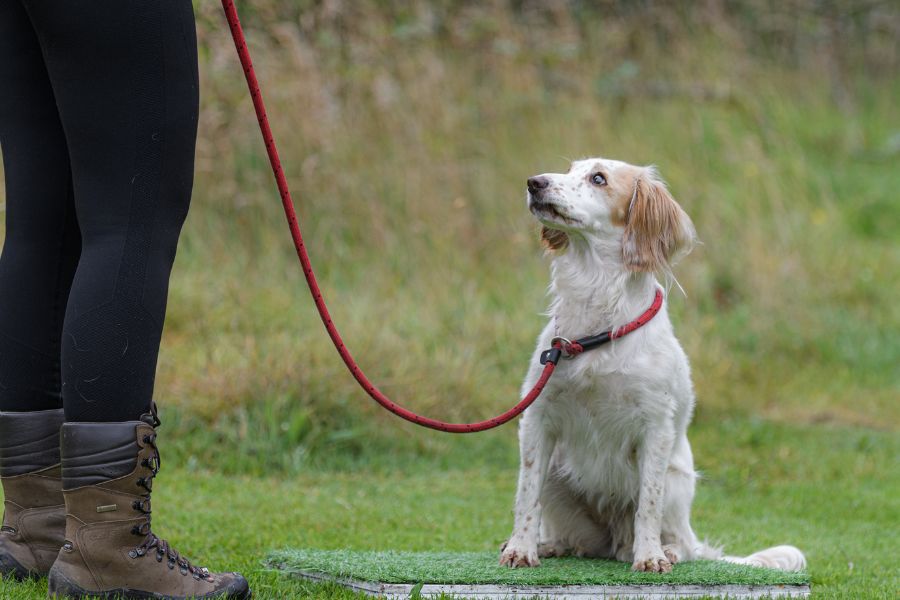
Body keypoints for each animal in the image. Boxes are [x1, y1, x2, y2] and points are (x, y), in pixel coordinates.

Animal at [500, 158, 808, 572]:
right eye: (570, 169)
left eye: (598, 178)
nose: (535, 183)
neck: (597, 318)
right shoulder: (538, 419)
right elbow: (525, 493)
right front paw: (521, 548)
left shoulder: (655, 427)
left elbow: (648, 502)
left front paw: (650, 557)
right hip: (558, 475)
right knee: (579, 540)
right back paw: (552, 545)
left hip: (678, 482)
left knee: (682, 543)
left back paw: (666, 551)